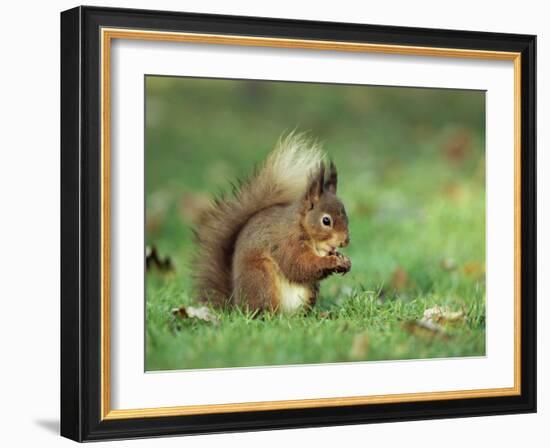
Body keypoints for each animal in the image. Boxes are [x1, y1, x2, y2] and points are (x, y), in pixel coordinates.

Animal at [192, 133, 352, 314]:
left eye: (346, 216)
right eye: (326, 220)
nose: (345, 241)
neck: (301, 225)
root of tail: (236, 306)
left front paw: (343, 259)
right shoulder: (286, 242)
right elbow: (299, 264)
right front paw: (332, 261)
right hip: (262, 278)